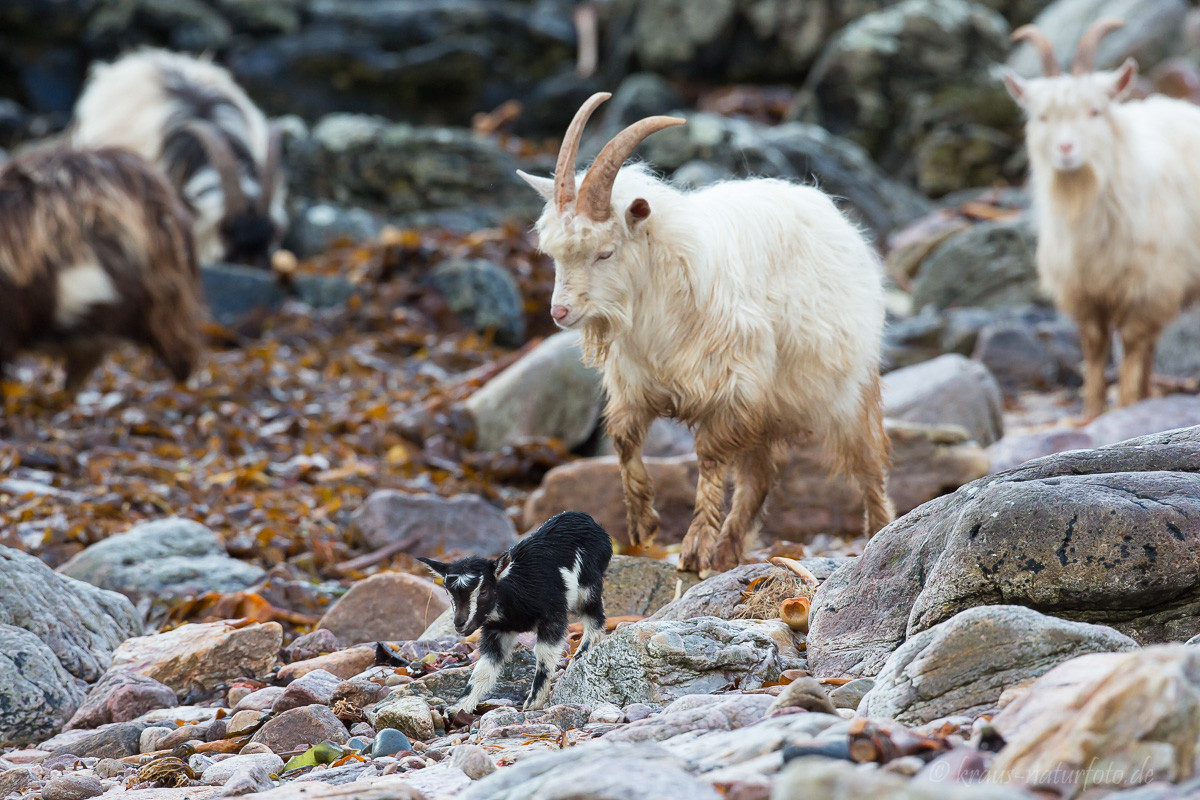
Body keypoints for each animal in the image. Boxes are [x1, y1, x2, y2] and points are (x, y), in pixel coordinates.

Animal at [516, 92, 892, 575]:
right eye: (554, 254)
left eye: (605, 252)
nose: (560, 311)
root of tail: (836, 217)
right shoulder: (637, 385)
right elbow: (623, 438)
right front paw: (643, 524)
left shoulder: (731, 390)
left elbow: (711, 459)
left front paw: (694, 548)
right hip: (767, 410)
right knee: (759, 476)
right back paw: (730, 551)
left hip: (846, 390)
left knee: (866, 464)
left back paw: (877, 532)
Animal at [1003, 20, 1200, 419]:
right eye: (1042, 117)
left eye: (1095, 111)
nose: (1066, 149)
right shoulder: (1084, 291)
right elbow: (1094, 347)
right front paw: (1092, 411)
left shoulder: (1149, 285)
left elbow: (1131, 342)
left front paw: (1124, 404)